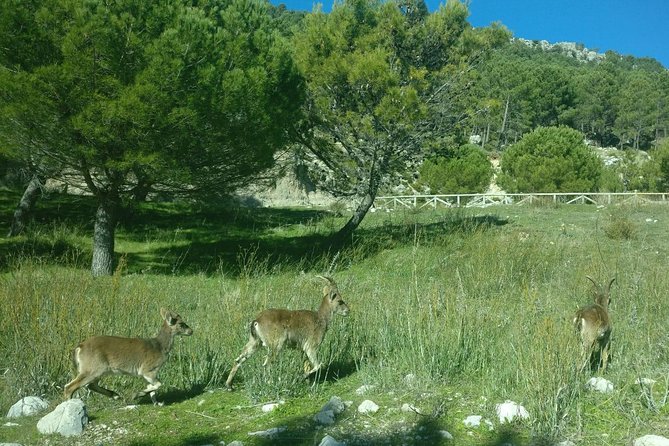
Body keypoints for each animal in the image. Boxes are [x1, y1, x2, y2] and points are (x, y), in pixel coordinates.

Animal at [63, 308, 192, 406]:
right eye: (181, 323)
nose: (191, 331)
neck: (159, 347)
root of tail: (79, 347)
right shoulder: (148, 369)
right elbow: (158, 384)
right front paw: (136, 395)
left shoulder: (146, 373)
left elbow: (152, 388)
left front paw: (158, 403)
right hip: (93, 368)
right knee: (70, 386)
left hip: (97, 370)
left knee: (90, 385)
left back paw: (116, 395)